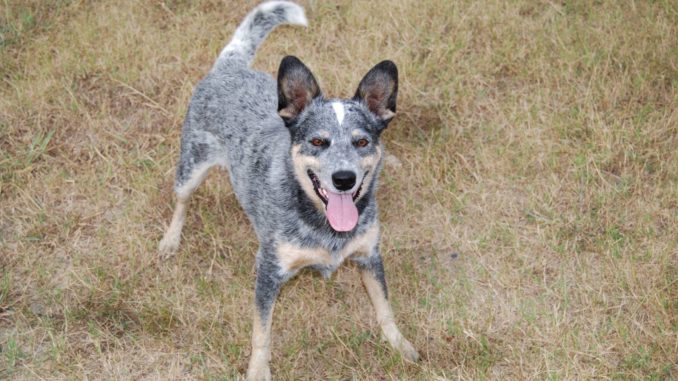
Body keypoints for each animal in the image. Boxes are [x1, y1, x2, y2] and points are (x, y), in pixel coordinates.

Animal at [161, 2, 420, 378]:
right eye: (317, 141)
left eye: (362, 141)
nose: (344, 178)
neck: (324, 227)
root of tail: (232, 65)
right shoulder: (269, 271)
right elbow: (261, 333)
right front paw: (258, 370)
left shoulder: (370, 256)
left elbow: (385, 307)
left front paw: (400, 345)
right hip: (191, 165)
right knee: (181, 200)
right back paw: (170, 239)